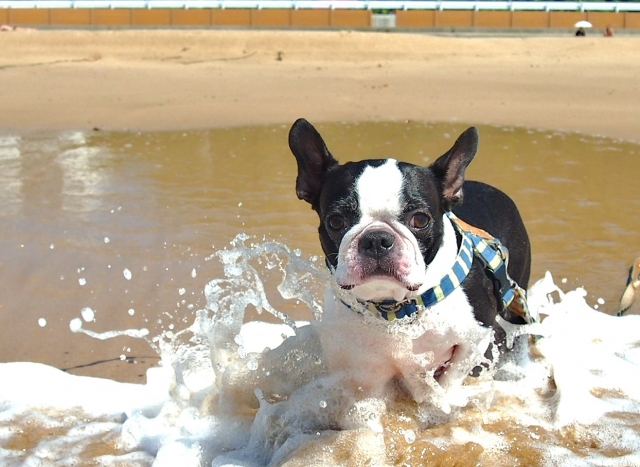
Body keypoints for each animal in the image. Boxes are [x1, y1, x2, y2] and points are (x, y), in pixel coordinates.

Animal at [288, 118, 532, 410]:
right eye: (336, 221)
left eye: (420, 219)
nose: (377, 238)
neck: (395, 309)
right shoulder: (358, 364)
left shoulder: (475, 337)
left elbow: (449, 379)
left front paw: (438, 402)